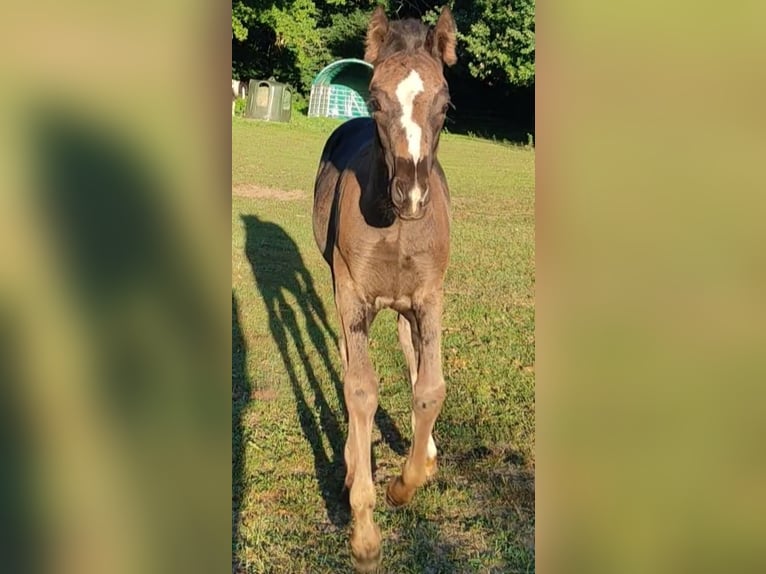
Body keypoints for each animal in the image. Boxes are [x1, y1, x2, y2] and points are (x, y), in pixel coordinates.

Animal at [312, 5, 457, 571]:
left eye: (445, 104)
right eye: (375, 99)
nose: (410, 195)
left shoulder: (429, 298)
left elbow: (430, 387)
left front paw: (406, 482)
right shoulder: (352, 295)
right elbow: (360, 388)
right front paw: (365, 533)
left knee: (406, 347)